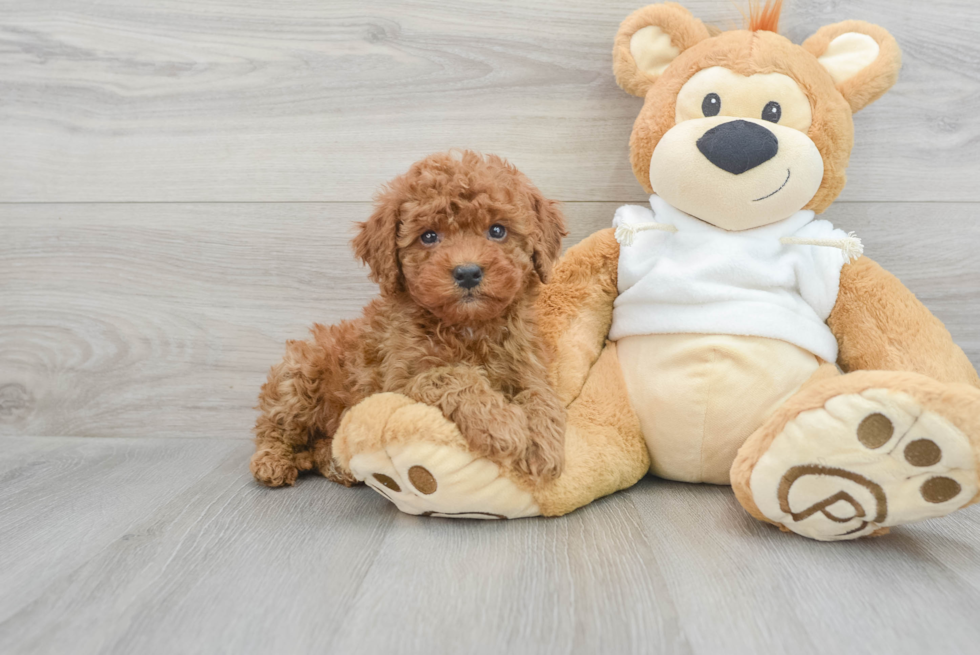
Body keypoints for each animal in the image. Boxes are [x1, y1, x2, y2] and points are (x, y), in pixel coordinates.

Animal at [251, 150, 568, 486]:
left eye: (497, 230)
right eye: (428, 236)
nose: (468, 272)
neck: (469, 325)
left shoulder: (528, 366)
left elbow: (542, 395)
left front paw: (544, 444)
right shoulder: (400, 382)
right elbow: (452, 376)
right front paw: (501, 425)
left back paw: (335, 463)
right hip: (298, 378)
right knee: (273, 428)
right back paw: (272, 461)